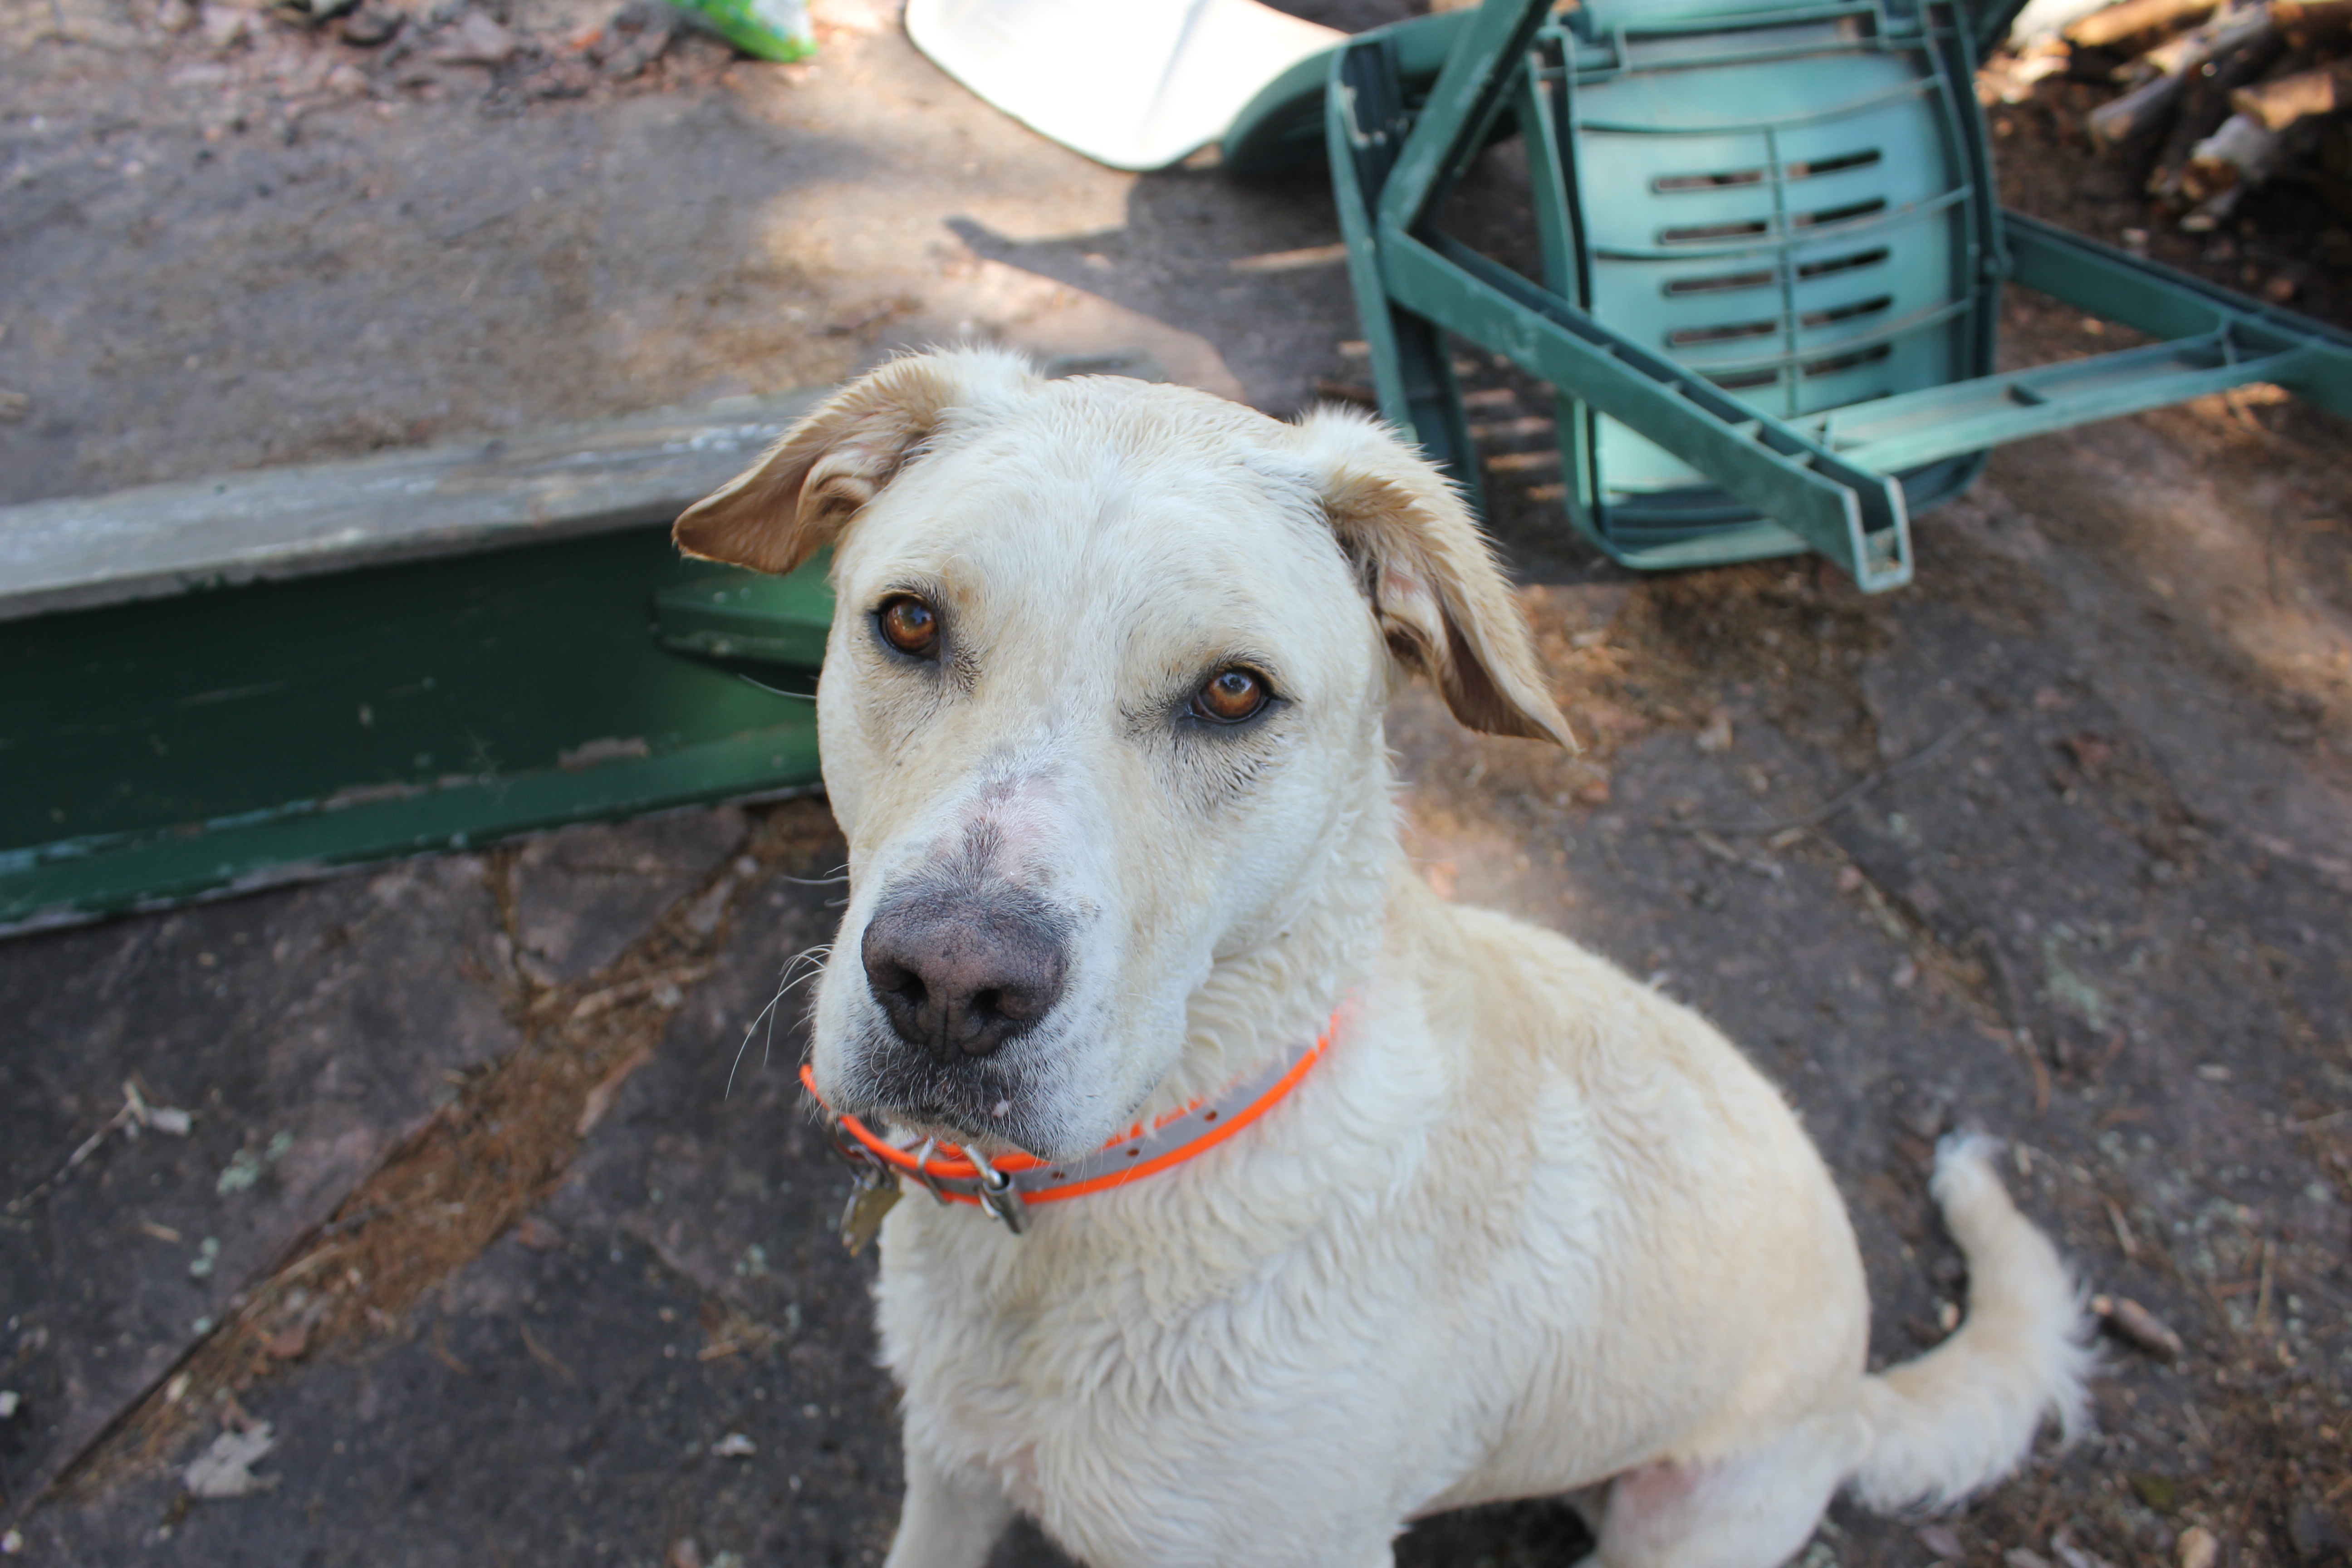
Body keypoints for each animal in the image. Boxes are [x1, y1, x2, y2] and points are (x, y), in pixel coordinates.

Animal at [674, 347, 2091, 1568]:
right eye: (910, 623)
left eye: (1233, 692)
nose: (949, 990)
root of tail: (1855, 1393)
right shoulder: (950, 1469)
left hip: (1682, 1520)